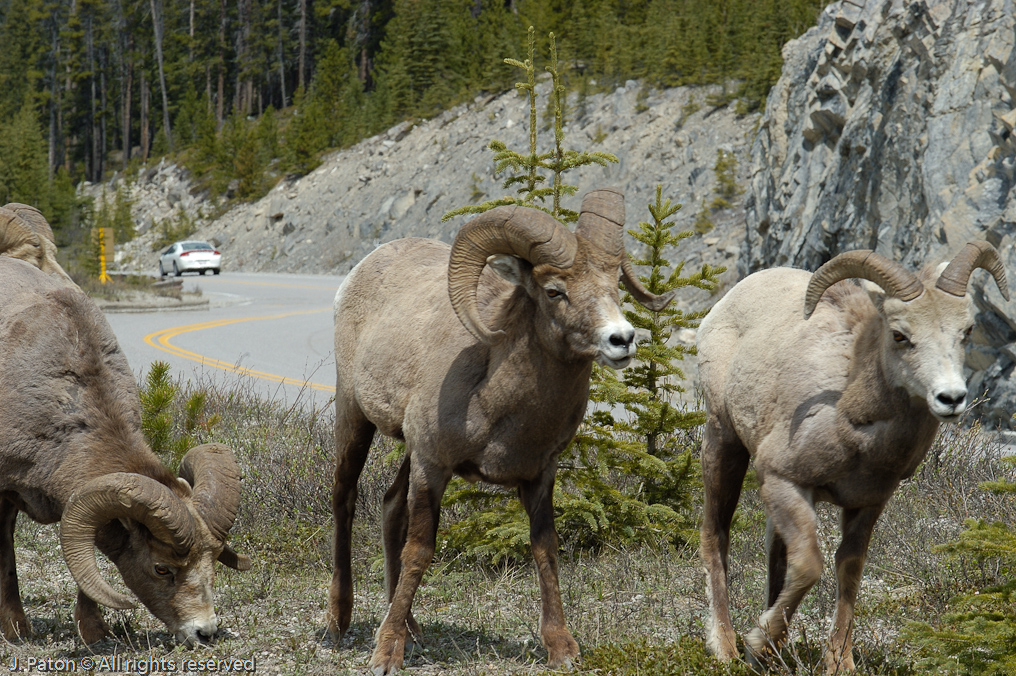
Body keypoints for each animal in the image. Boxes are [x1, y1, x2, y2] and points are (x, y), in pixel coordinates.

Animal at [330, 188, 675, 674]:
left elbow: (545, 549)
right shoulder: (433, 466)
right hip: (354, 414)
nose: (622, 340)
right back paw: (338, 622)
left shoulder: (539, 476)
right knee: (344, 497)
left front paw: (562, 648)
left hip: (407, 452)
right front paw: (386, 655)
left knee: (391, 506)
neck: (497, 400)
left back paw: (412, 628)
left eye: (614, 287)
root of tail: (362, 269)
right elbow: (420, 550)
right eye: (554, 291)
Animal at [696, 242, 1009, 673]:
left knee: (776, 555)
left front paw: (837, 661)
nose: (951, 398)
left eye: (966, 331)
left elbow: (848, 569)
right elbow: (810, 565)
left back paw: (773, 654)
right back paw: (727, 648)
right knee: (716, 535)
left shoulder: (868, 503)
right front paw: (756, 642)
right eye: (900, 335)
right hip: (723, 442)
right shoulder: (784, 480)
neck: (852, 422)